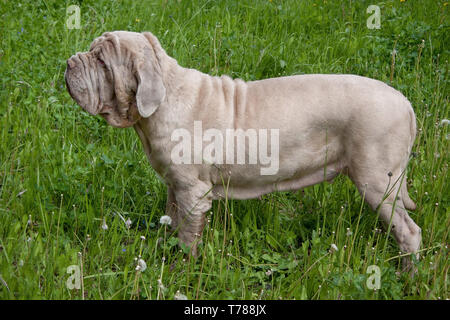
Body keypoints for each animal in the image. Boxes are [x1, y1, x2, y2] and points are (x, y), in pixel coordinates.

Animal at [64, 30, 422, 268]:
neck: (164, 98)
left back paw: (407, 273)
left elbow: (188, 235)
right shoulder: (175, 186)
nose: (69, 62)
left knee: (409, 231)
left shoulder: (193, 191)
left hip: (377, 180)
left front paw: (183, 268)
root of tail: (405, 103)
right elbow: (173, 219)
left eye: (101, 61)